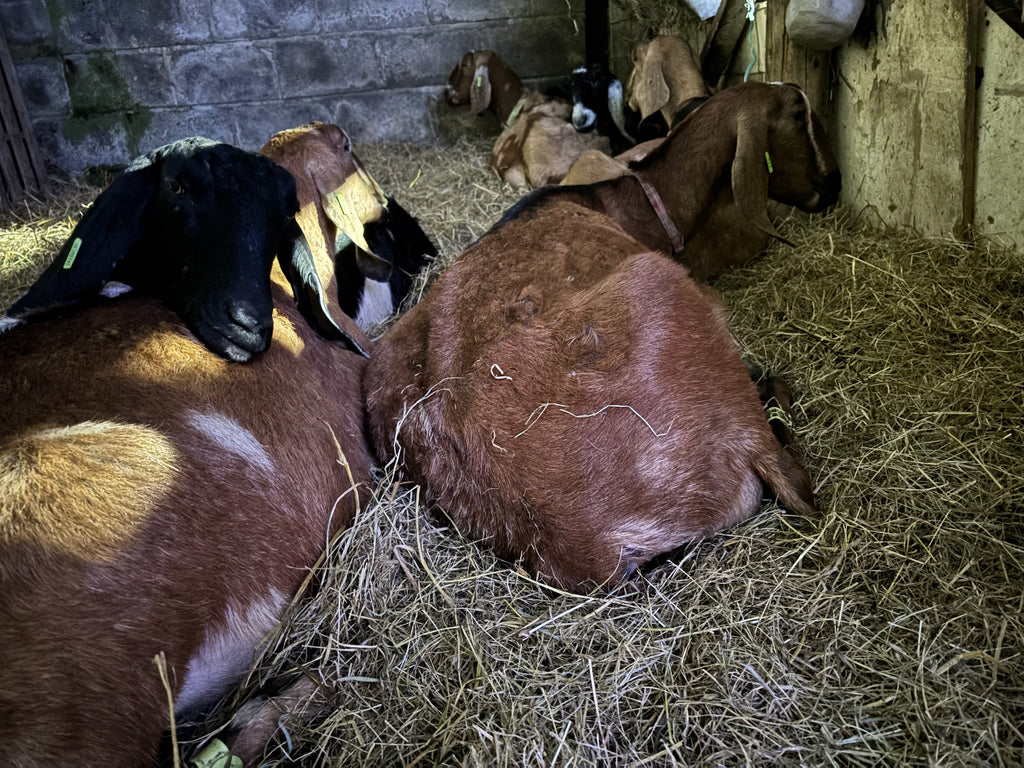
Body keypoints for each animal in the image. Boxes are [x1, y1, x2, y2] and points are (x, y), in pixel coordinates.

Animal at [364, 81, 839, 591]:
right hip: (658, 285)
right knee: (792, 473)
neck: (637, 202)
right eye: (798, 115)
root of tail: (591, 552)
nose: (834, 185)